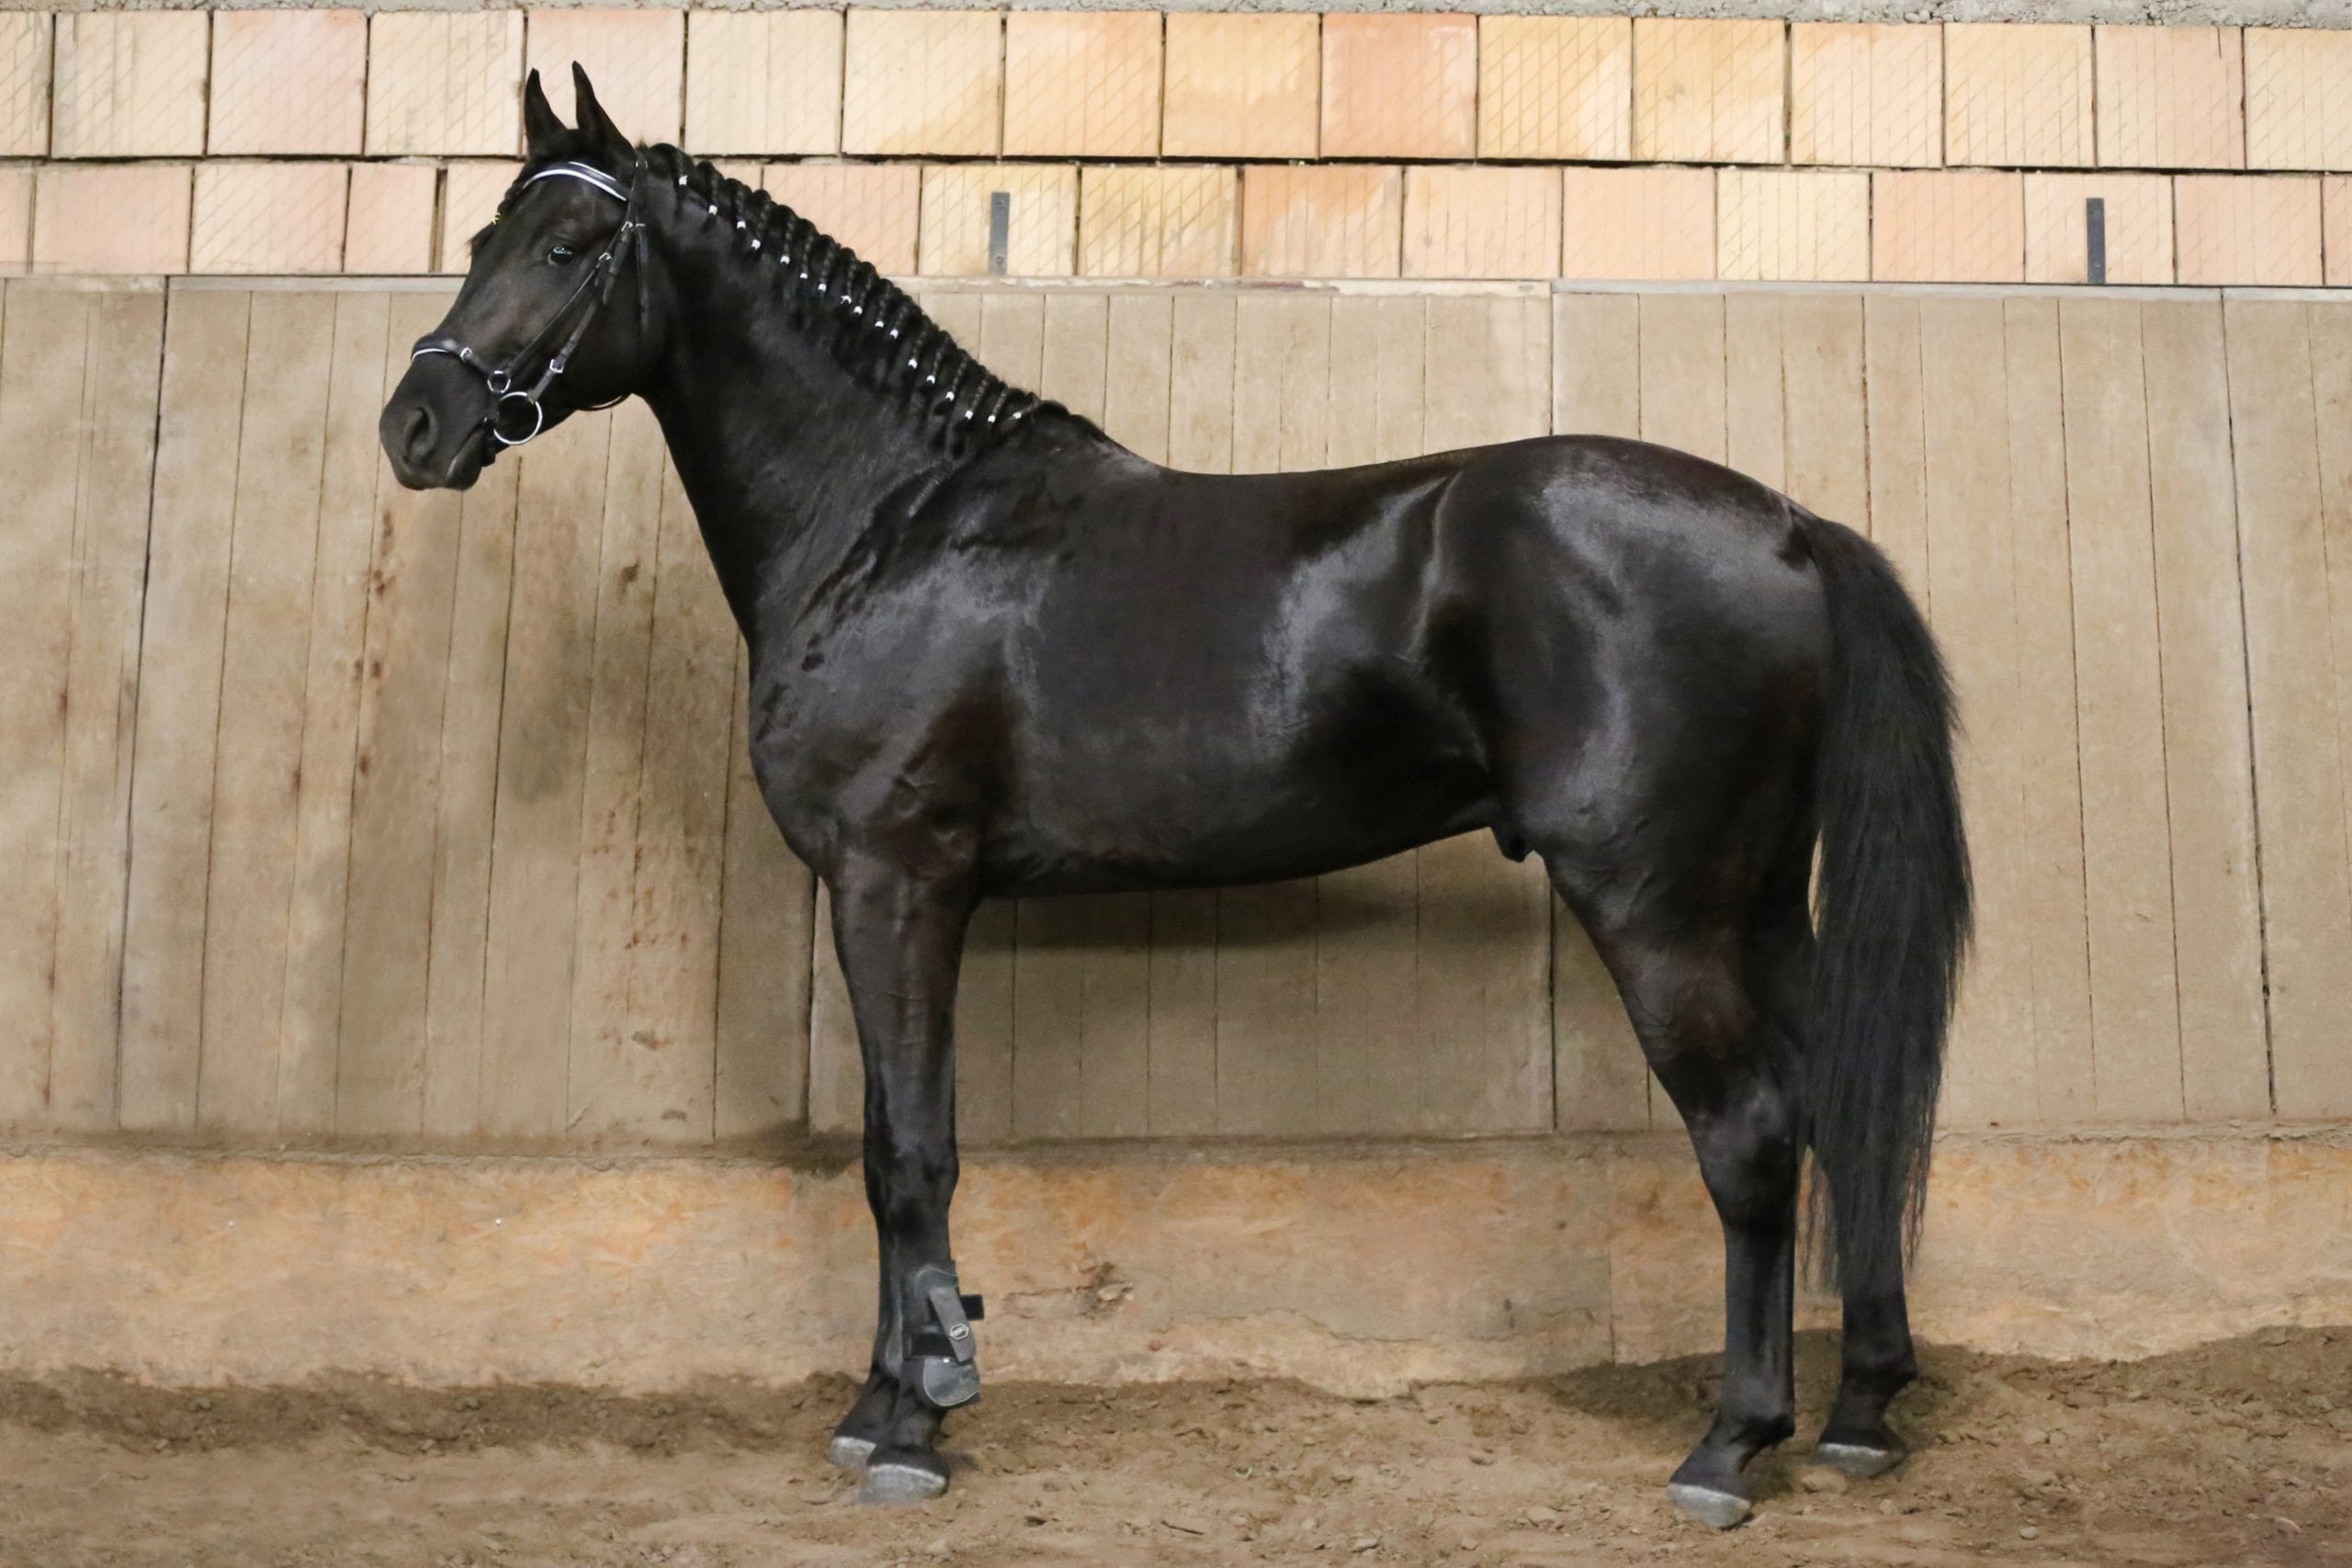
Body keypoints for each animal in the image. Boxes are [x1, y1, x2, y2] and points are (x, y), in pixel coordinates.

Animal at [380, 67, 1971, 1529]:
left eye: (571, 248)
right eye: (480, 233)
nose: (418, 423)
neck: (894, 526)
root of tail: (1787, 528)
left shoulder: (899, 882)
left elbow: (910, 1154)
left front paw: (915, 1425)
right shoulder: (896, 895)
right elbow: (899, 1147)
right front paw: (881, 1403)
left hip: (1660, 904)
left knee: (1751, 1128)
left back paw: (1730, 1444)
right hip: (1757, 900)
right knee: (1838, 1101)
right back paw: (1861, 1410)